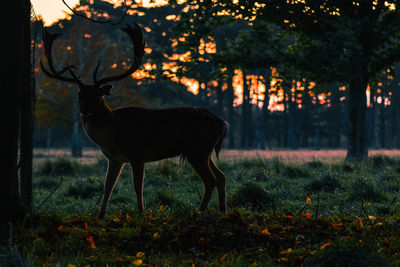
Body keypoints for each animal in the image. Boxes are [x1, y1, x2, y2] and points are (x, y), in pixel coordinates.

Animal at [40, 24, 228, 219]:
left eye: (98, 96)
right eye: (79, 95)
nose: (84, 110)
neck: (112, 132)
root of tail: (223, 124)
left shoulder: (137, 154)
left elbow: (138, 185)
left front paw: (141, 212)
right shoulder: (114, 159)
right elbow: (108, 186)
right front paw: (100, 215)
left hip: (197, 150)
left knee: (211, 180)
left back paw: (200, 211)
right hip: (203, 151)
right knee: (221, 176)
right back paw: (222, 210)